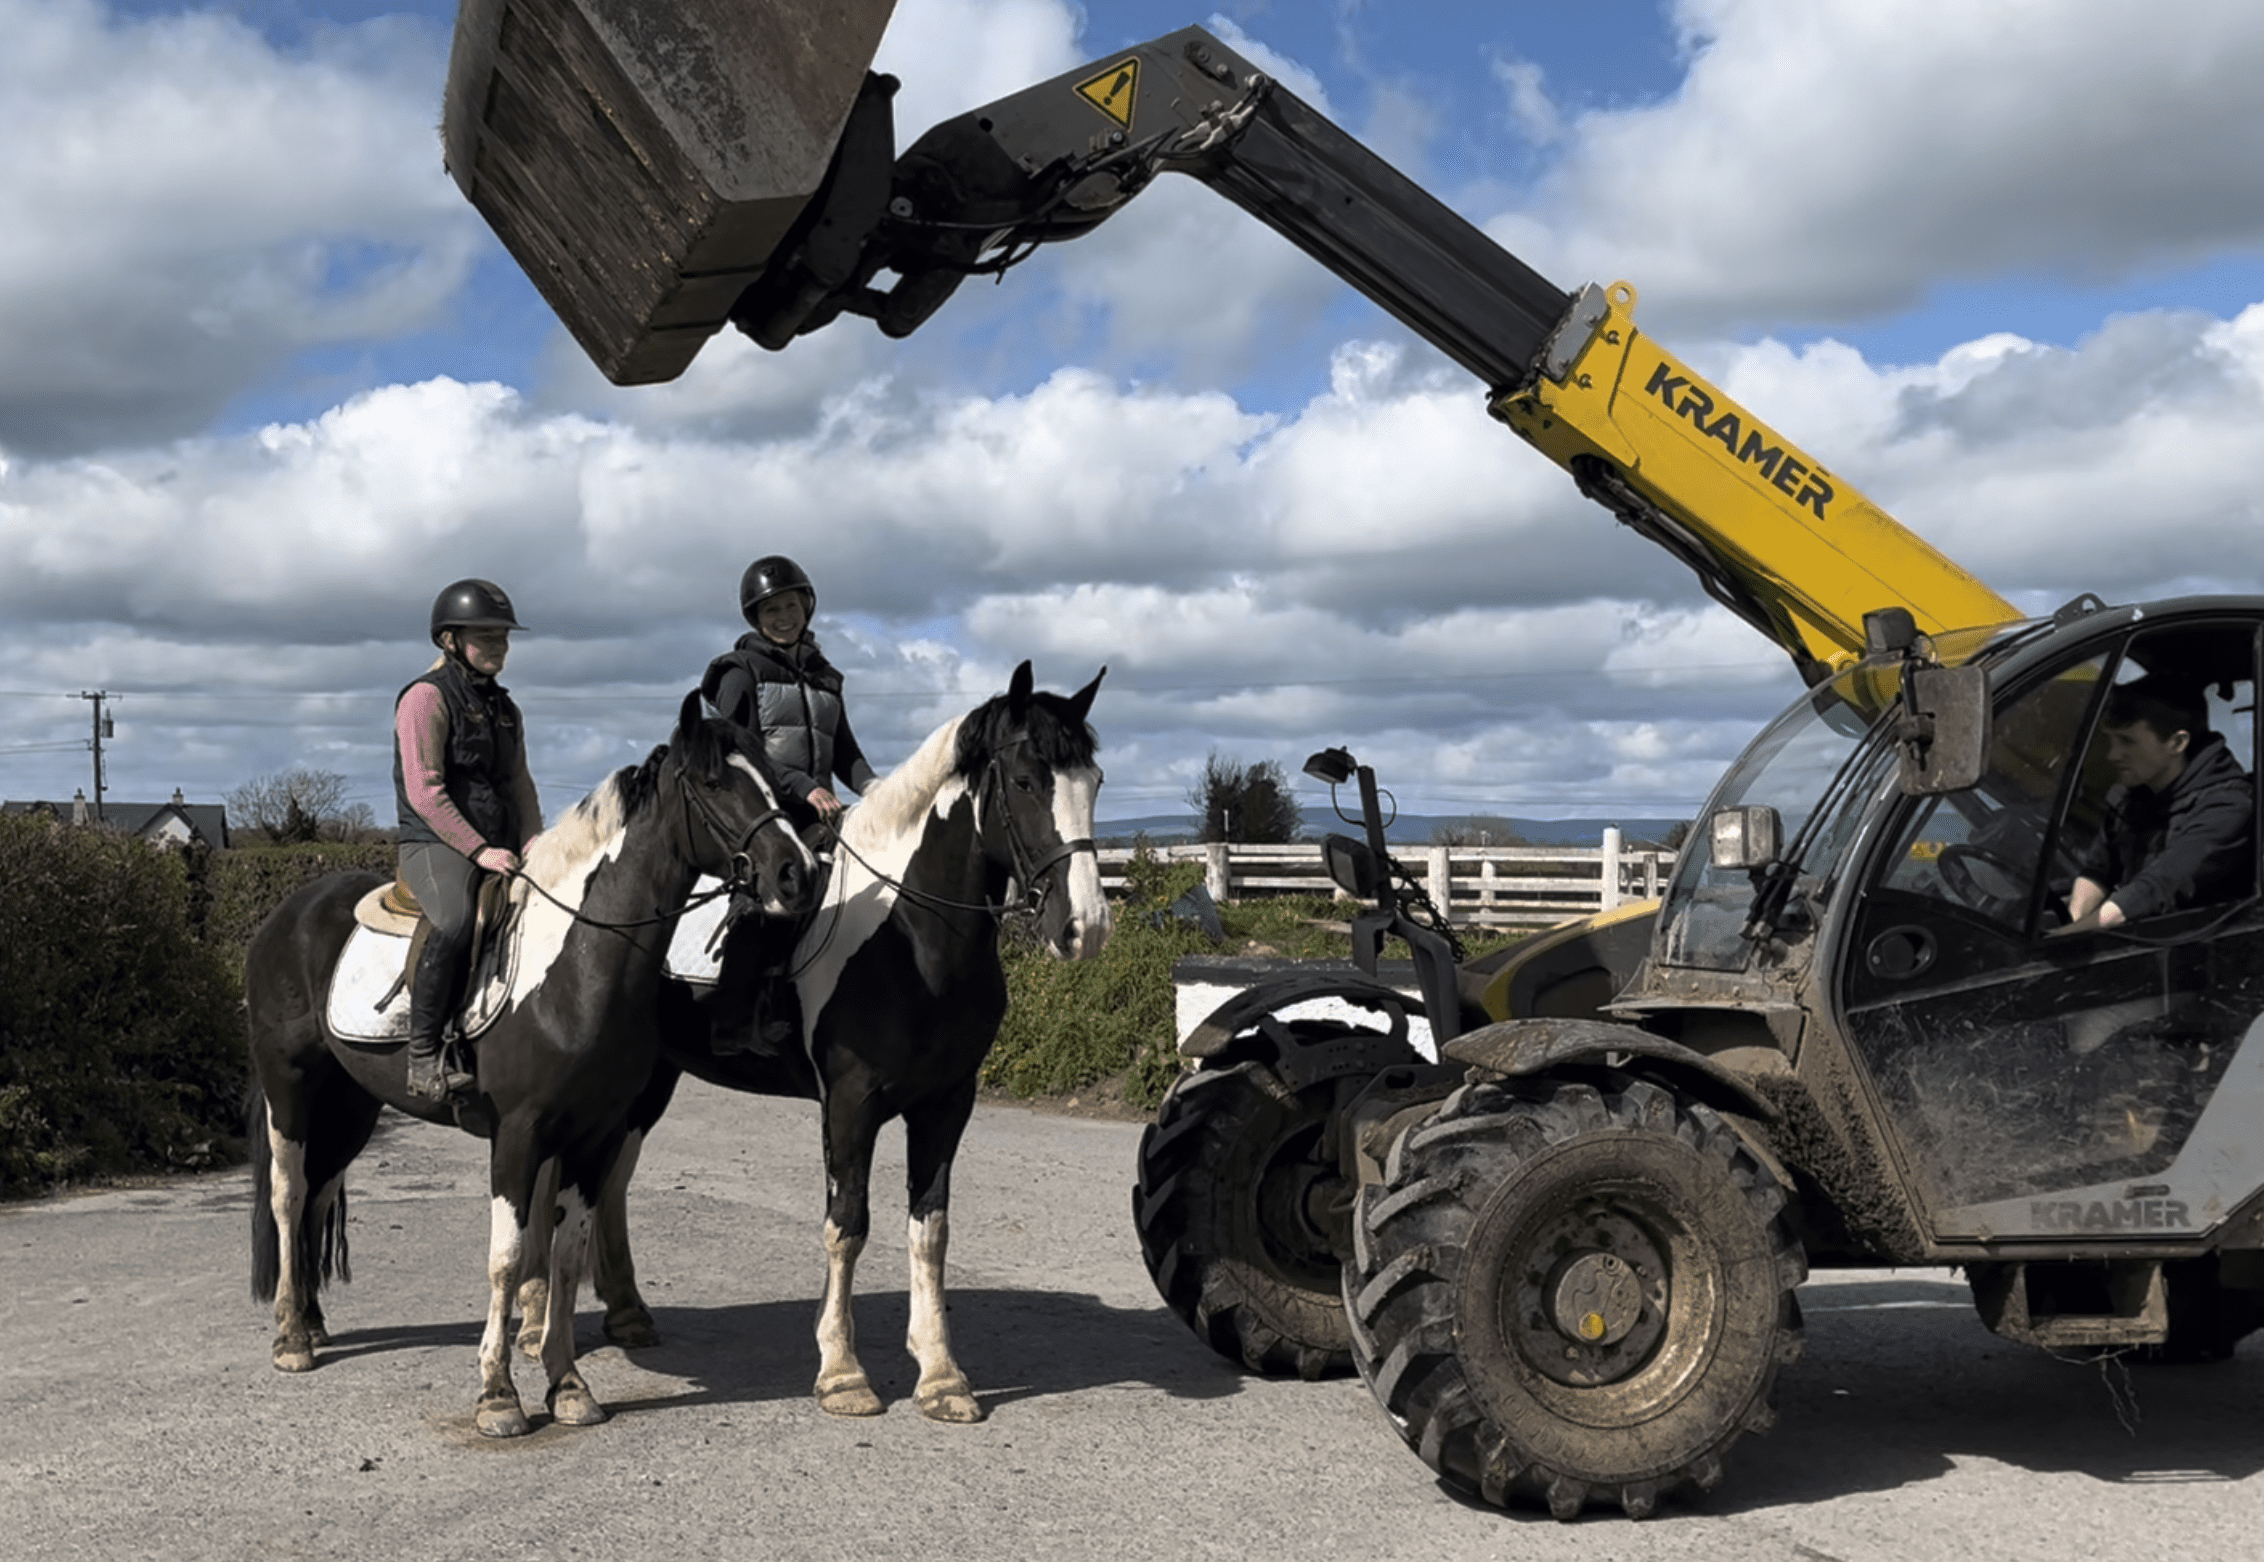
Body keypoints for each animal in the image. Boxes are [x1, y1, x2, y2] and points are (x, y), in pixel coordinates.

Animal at [245, 691, 819, 1437]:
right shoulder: (518, 1136)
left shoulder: (594, 1136)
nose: (798, 875)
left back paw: (313, 1323)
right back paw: (291, 1337)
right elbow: (509, 1257)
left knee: (318, 1194)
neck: (579, 965)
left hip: (352, 1103)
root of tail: (288, 914)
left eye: (775, 780)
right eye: (716, 781)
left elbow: (568, 1252)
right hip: (290, 1089)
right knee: (289, 1196)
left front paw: (567, 1384)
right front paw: (497, 1395)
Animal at [538, 660, 1111, 1423]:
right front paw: (842, 1372)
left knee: (612, 1180)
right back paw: (538, 1323)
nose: (1086, 926)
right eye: (1024, 781)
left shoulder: (946, 1103)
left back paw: (626, 1313)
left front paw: (941, 1375)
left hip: (650, 1079)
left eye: (1095, 782)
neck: (910, 939)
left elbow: (930, 1230)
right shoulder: (849, 1101)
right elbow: (848, 1225)